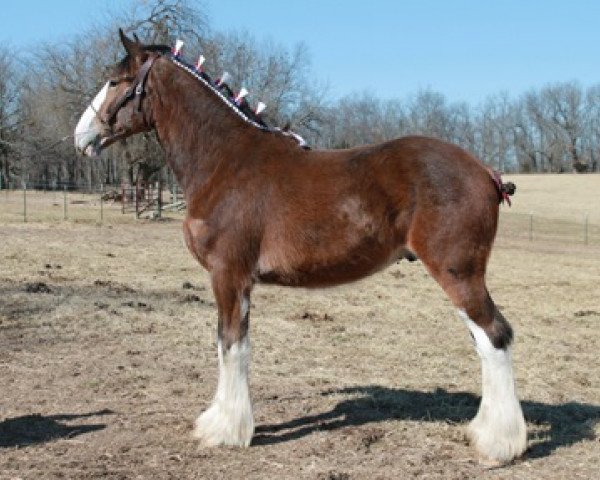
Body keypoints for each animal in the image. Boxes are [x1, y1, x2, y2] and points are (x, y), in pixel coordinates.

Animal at [74, 31, 524, 464]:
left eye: (115, 81)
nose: (81, 136)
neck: (225, 160)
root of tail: (484, 171)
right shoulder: (238, 281)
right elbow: (231, 343)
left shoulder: (228, 275)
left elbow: (230, 343)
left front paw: (225, 430)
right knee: (484, 340)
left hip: (459, 274)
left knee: (495, 336)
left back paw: (498, 445)